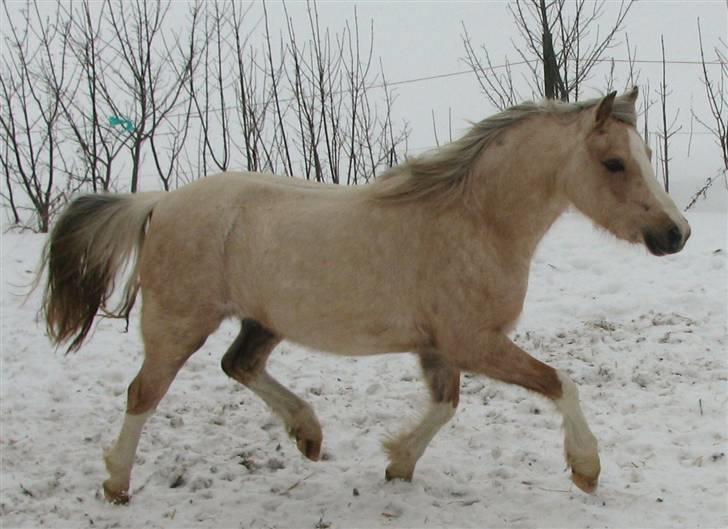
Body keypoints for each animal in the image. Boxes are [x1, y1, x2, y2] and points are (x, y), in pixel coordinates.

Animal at [40, 87, 690, 504]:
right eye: (614, 163)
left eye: (643, 156)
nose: (676, 234)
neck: (477, 220)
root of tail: (158, 201)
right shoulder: (474, 342)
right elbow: (560, 383)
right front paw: (587, 469)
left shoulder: (441, 347)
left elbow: (446, 404)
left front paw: (398, 463)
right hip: (177, 323)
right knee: (143, 394)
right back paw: (117, 484)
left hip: (261, 320)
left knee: (238, 365)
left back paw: (308, 434)